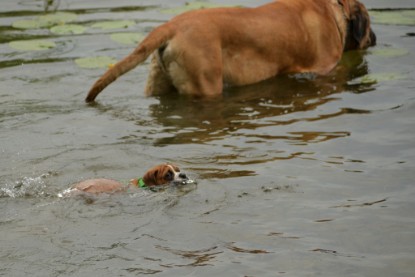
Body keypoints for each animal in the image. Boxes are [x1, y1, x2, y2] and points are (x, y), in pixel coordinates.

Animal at [85, 0, 376, 101]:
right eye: (370, 22)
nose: (374, 37)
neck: (334, 10)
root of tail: (171, 25)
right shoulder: (327, 68)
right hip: (205, 84)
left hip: (158, 82)